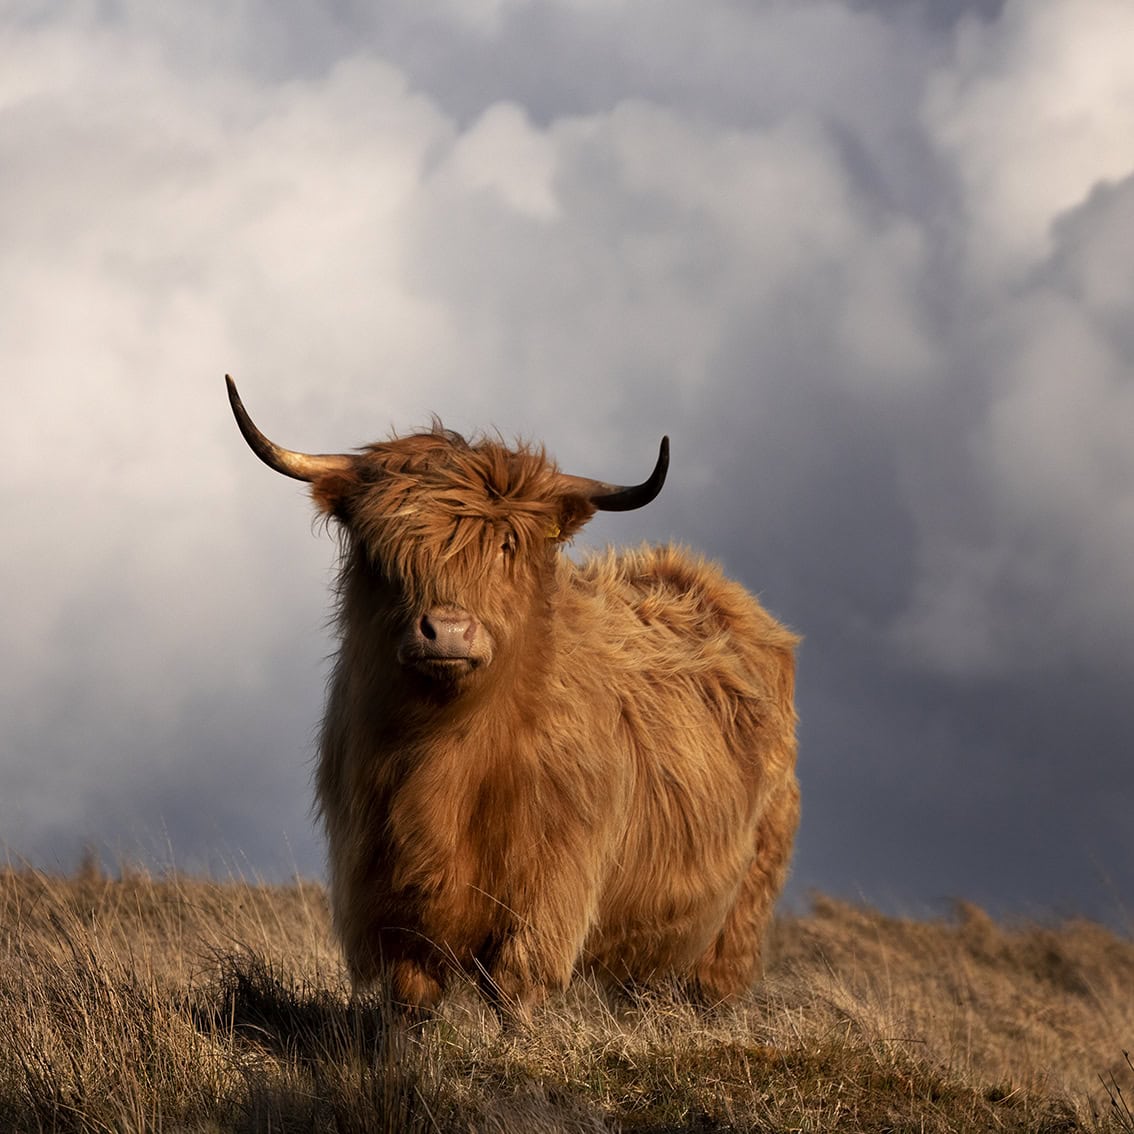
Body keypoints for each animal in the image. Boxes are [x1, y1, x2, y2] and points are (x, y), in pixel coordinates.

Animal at [225, 374, 802, 1020]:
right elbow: (410, 1003)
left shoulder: (547, 895)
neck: (447, 754)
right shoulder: (387, 894)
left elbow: (514, 995)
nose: (448, 630)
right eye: (383, 545)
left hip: (737, 917)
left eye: (505, 544)